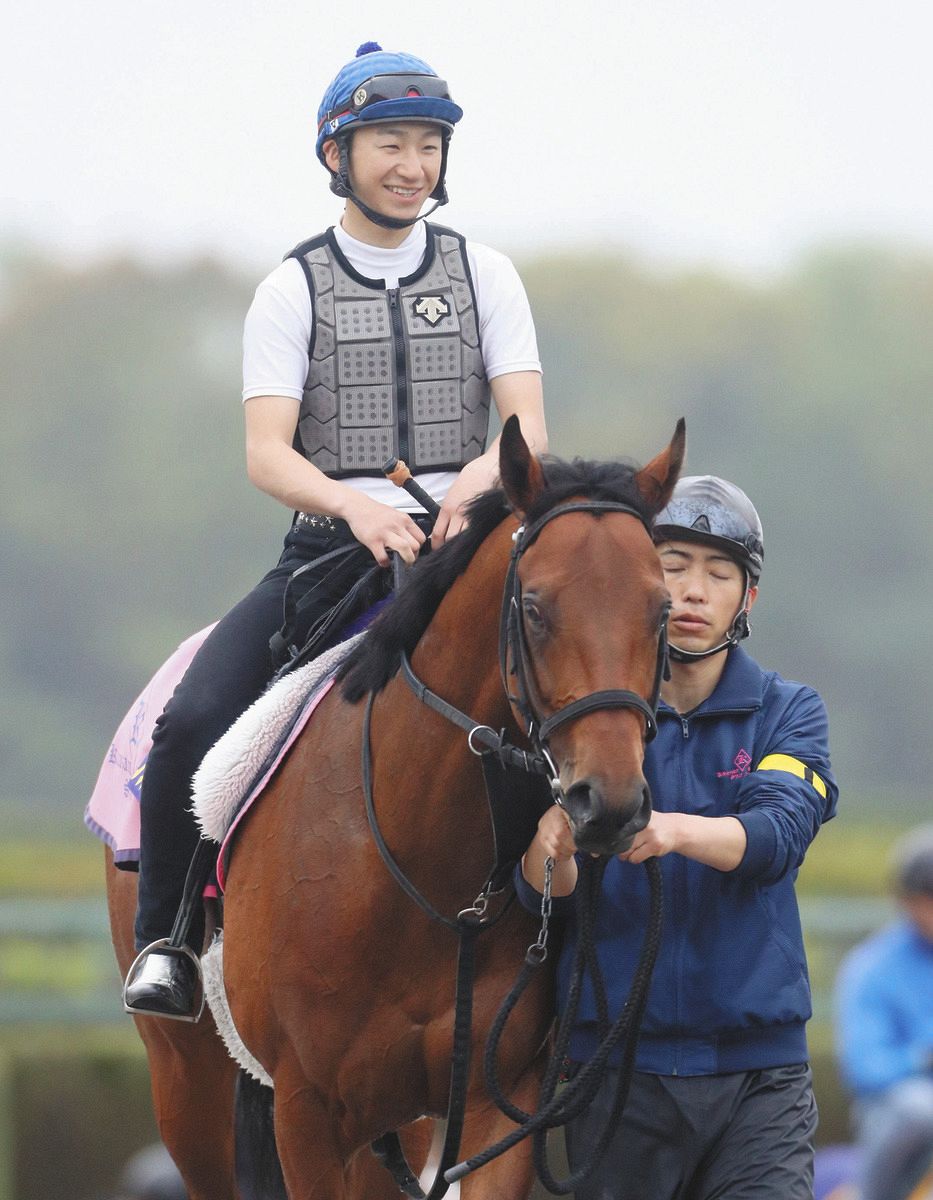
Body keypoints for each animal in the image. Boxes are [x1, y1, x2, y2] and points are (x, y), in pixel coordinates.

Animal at [106, 415, 685, 1199]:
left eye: (662, 608)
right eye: (534, 609)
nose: (610, 802)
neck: (429, 870)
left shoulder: (499, 1101)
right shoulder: (308, 1114)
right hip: (188, 1086)